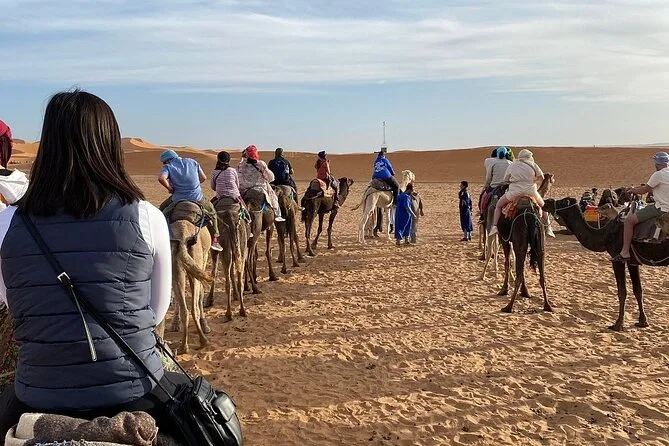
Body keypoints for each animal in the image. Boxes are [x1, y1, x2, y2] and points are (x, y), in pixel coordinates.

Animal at [164, 202, 214, 354]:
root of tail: (182, 236)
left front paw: (174, 325)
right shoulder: (203, 262)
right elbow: (201, 294)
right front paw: (205, 325)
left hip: (176, 265)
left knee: (185, 308)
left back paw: (184, 347)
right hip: (197, 260)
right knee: (194, 307)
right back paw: (203, 341)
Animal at [496, 174, 555, 313]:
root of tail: (530, 214)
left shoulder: (505, 239)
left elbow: (508, 263)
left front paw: (504, 290)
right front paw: (526, 292)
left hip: (518, 239)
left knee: (518, 272)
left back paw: (508, 307)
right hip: (540, 244)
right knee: (542, 276)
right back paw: (548, 306)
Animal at [545, 197, 669, 331]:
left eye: (562, 202)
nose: (547, 202)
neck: (605, 234)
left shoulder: (617, 258)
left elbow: (622, 292)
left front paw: (617, 324)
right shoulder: (633, 262)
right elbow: (638, 290)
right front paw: (642, 322)